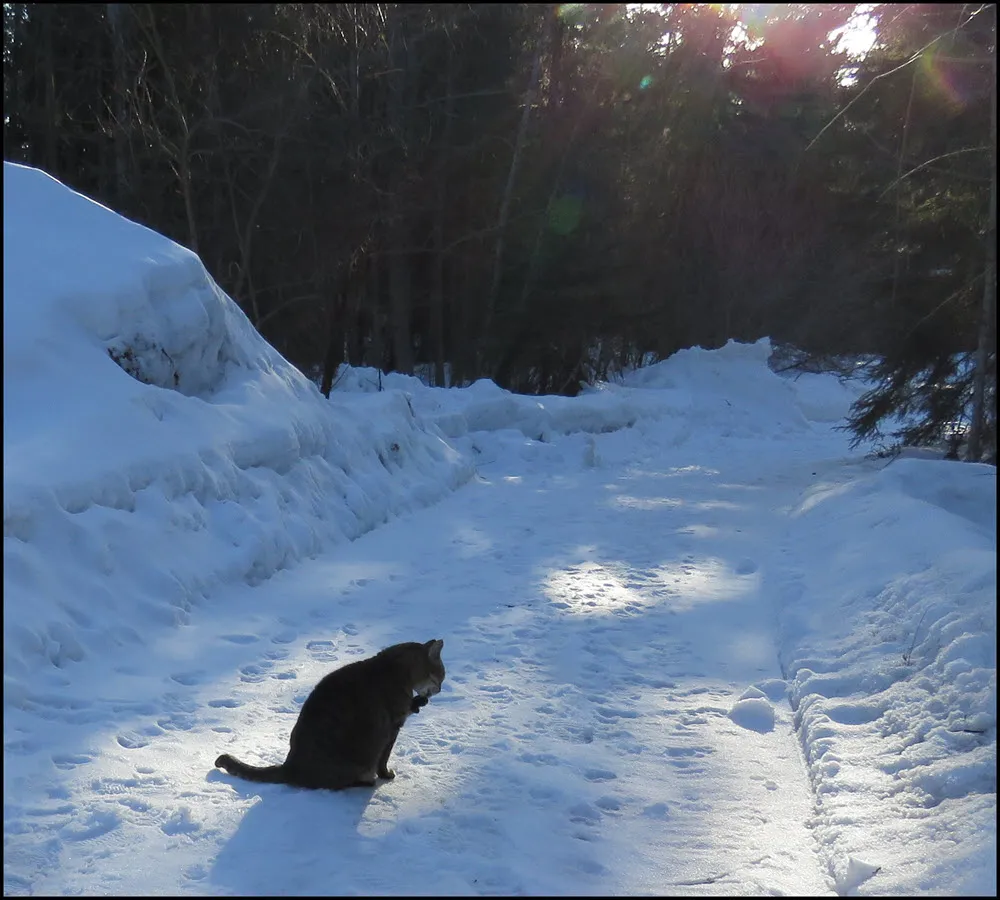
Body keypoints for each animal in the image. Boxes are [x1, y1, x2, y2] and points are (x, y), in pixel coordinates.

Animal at [218, 636, 446, 792]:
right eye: (441, 676)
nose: (441, 689)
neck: (394, 668)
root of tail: (289, 766)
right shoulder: (394, 726)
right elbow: (384, 759)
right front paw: (386, 774)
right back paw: (366, 781)